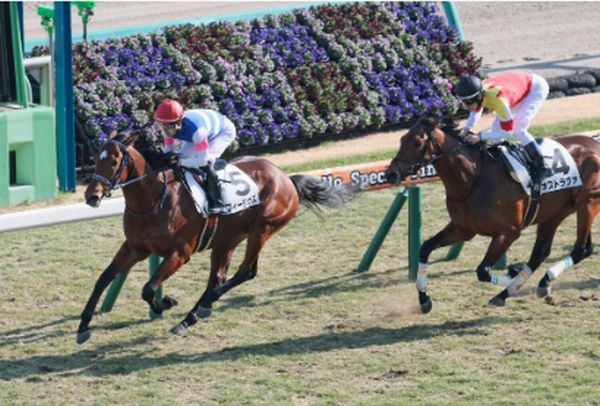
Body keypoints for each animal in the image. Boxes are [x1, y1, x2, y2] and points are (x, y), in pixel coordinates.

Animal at [77, 131, 348, 344]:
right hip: (227, 239)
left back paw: (202, 308)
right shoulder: (135, 247)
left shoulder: (180, 253)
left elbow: (148, 288)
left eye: (114, 161)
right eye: (96, 159)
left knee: (245, 272)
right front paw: (82, 328)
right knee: (218, 278)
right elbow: (103, 279)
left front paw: (166, 302)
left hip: (262, 230)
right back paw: (193, 315)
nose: (92, 196)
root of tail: (286, 178)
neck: (153, 200)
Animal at [385, 116, 600, 312]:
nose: (391, 174)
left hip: (588, 203)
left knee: (579, 249)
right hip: (555, 212)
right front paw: (424, 299)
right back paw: (531, 286)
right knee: (546, 252)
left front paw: (512, 272)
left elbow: (482, 271)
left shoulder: (508, 232)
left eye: (417, 142)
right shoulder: (462, 230)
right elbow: (425, 248)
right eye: (402, 139)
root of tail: (595, 143)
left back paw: (531, 284)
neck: (473, 180)